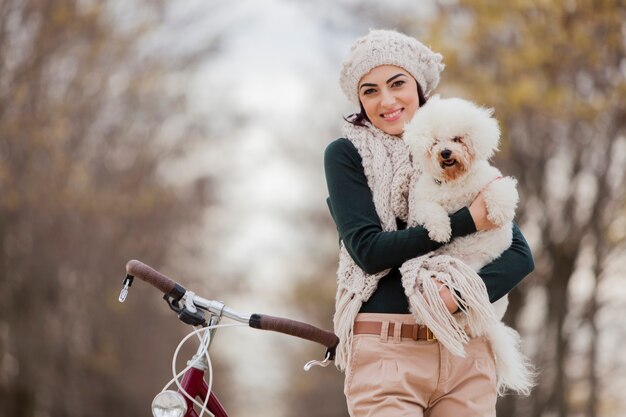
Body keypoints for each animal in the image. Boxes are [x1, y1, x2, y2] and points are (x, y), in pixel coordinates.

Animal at [400, 96, 532, 394]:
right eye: (435, 142)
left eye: (458, 138)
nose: (446, 152)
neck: (454, 181)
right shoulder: (425, 202)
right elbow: (433, 212)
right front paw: (440, 231)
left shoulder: (494, 182)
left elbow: (500, 193)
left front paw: (498, 214)